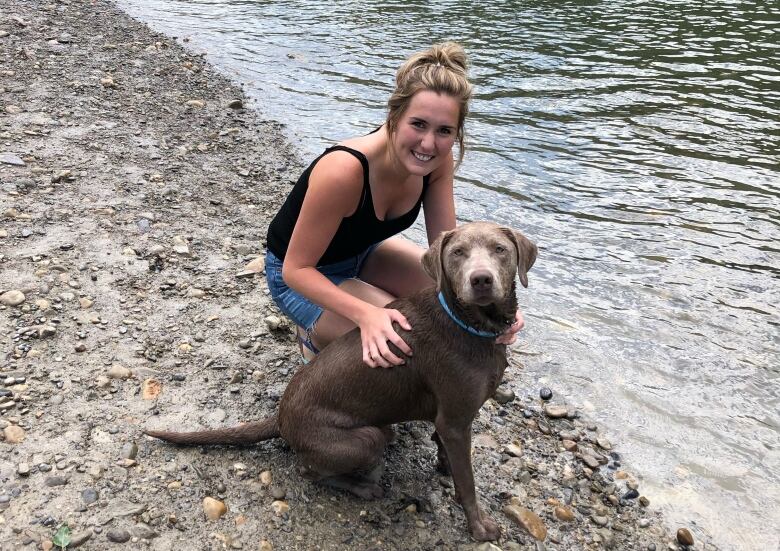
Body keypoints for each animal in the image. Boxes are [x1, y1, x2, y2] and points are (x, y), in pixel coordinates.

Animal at [145, 221, 536, 544]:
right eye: (458, 254)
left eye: (500, 249)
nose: (481, 279)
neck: (470, 324)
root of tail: (280, 417)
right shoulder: (456, 421)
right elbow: (468, 483)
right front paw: (479, 527)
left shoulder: (451, 418)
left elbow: (447, 455)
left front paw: (444, 468)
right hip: (365, 439)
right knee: (309, 471)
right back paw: (363, 488)